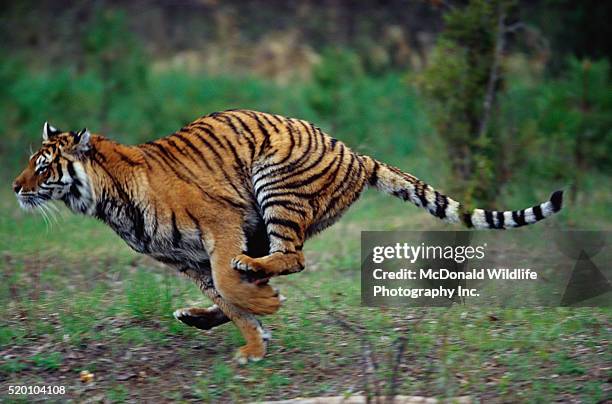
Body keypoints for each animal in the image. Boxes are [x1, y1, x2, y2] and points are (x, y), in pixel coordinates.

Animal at [11, 109, 564, 362]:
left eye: (42, 165)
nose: (14, 187)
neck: (106, 198)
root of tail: (355, 153)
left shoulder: (221, 224)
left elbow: (230, 285)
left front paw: (259, 331)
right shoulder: (186, 260)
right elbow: (229, 298)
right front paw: (254, 343)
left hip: (275, 188)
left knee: (290, 258)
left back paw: (257, 291)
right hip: (265, 218)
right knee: (267, 266)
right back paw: (203, 313)